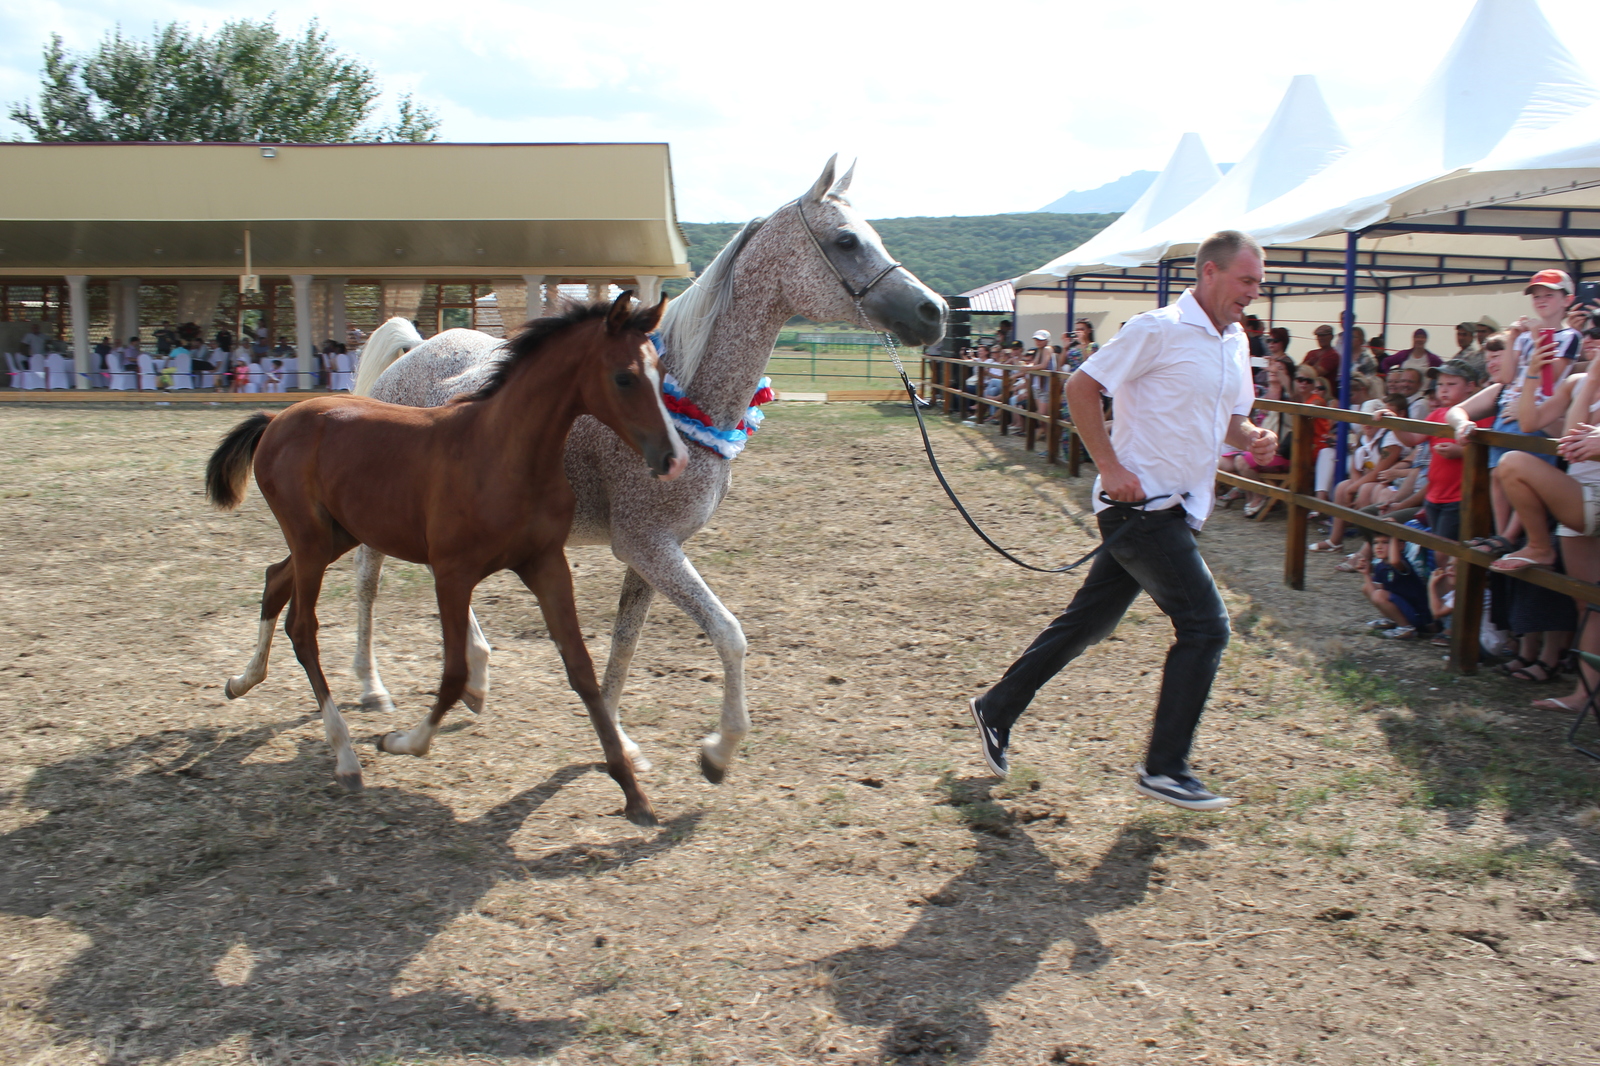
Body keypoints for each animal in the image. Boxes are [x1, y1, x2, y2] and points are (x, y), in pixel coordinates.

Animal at [203, 291, 684, 819]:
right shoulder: (452, 573)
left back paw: (242, 680)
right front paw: (403, 741)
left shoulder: (546, 564)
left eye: (663, 373)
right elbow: (454, 673)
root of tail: (276, 420)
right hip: (310, 539)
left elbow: (581, 670)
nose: (673, 458)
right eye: (624, 377)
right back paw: (346, 754)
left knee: (274, 579)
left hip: (335, 535)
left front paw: (633, 792)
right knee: (302, 627)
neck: (503, 454)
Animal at [350, 153, 940, 777]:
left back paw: (478, 676)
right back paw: (373, 687)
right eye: (846, 240)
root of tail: (412, 353)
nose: (934, 311)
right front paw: (719, 749)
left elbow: (625, 641)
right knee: (368, 579)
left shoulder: (654, 551)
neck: (682, 395)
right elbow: (729, 635)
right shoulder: (647, 545)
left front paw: (618, 743)